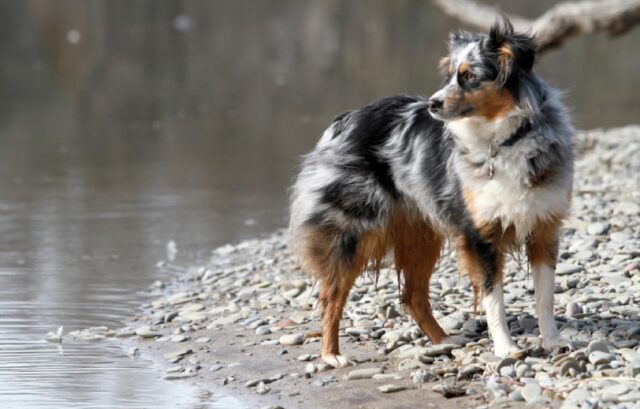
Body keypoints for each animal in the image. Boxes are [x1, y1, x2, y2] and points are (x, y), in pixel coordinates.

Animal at [288, 18, 572, 366]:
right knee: (332, 295)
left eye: (468, 76)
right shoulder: (480, 235)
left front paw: (553, 341)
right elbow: (494, 298)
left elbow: (545, 296)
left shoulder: (544, 227)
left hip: (421, 234)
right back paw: (332, 355)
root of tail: (345, 120)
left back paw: (445, 340)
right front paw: (506, 347)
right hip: (353, 232)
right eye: (448, 75)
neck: (505, 140)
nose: (432, 104)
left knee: (412, 296)